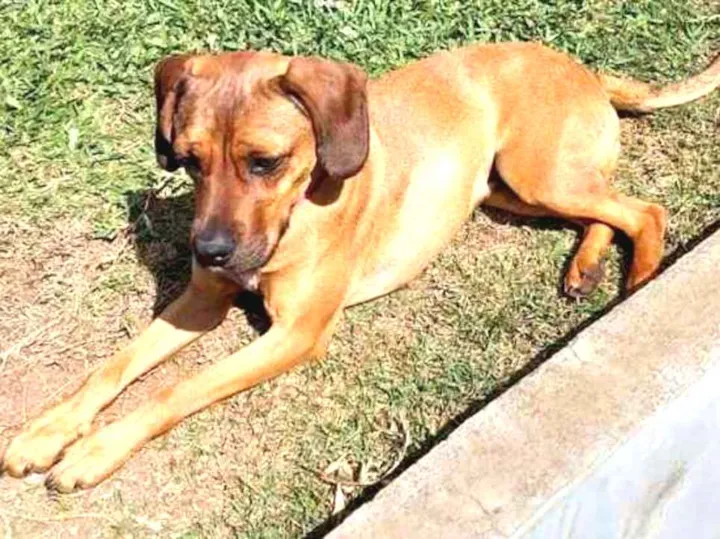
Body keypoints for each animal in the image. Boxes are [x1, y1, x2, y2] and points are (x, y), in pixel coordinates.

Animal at [2, 42, 719, 492]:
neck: (296, 209)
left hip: (535, 171)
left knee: (643, 211)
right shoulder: (200, 302)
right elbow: (112, 367)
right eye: (188, 159)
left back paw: (638, 282)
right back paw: (585, 267)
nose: (209, 251)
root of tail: (584, 68)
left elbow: (173, 389)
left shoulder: (296, 334)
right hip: (509, 190)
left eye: (264, 161)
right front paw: (48, 430)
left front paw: (94, 450)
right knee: (606, 210)